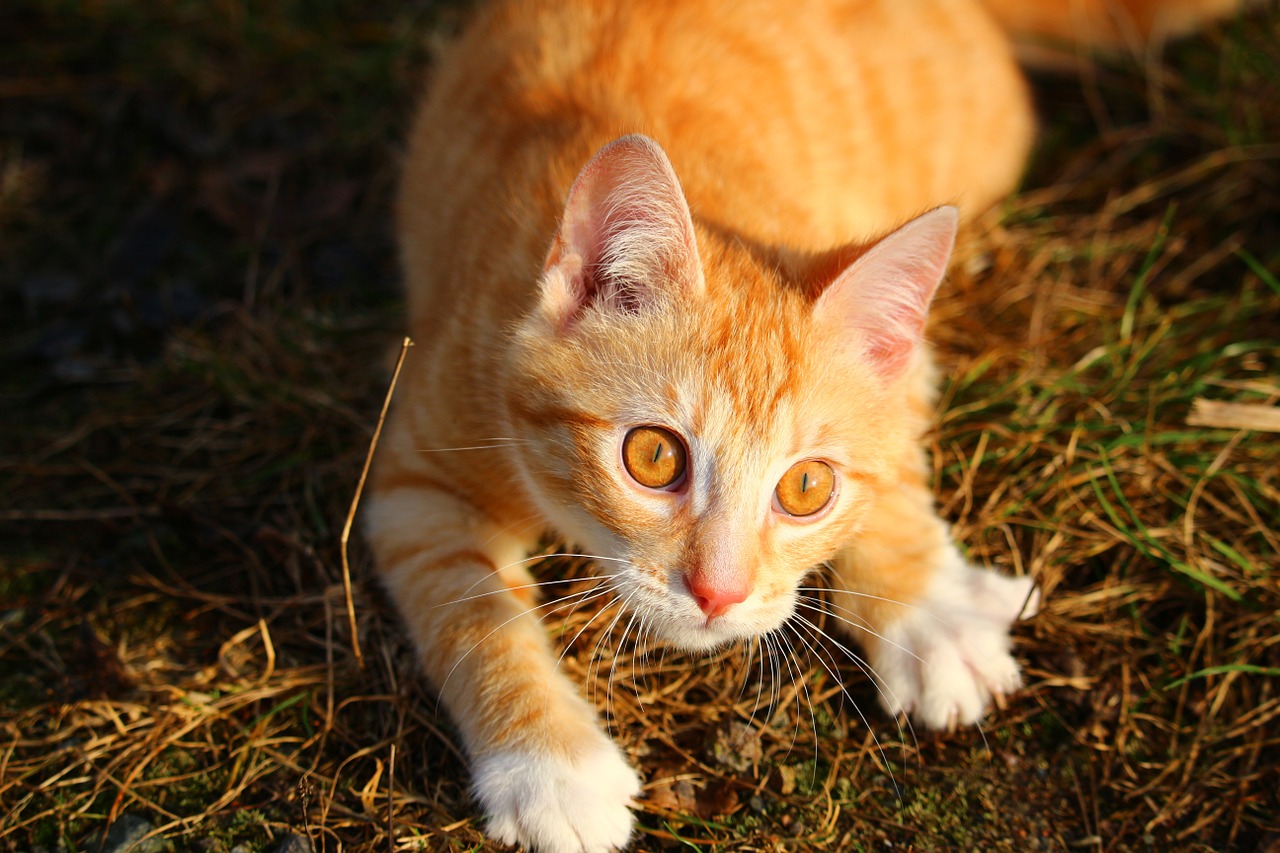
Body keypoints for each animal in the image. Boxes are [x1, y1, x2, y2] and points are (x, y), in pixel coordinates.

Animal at [366, 1, 1244, 850]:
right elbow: (470, 606)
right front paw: (550, 765)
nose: (718, 593)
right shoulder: (418, 473)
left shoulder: (907, 367)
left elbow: (894, 472)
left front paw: (927, 608)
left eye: (807, 485)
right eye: (652, 456)